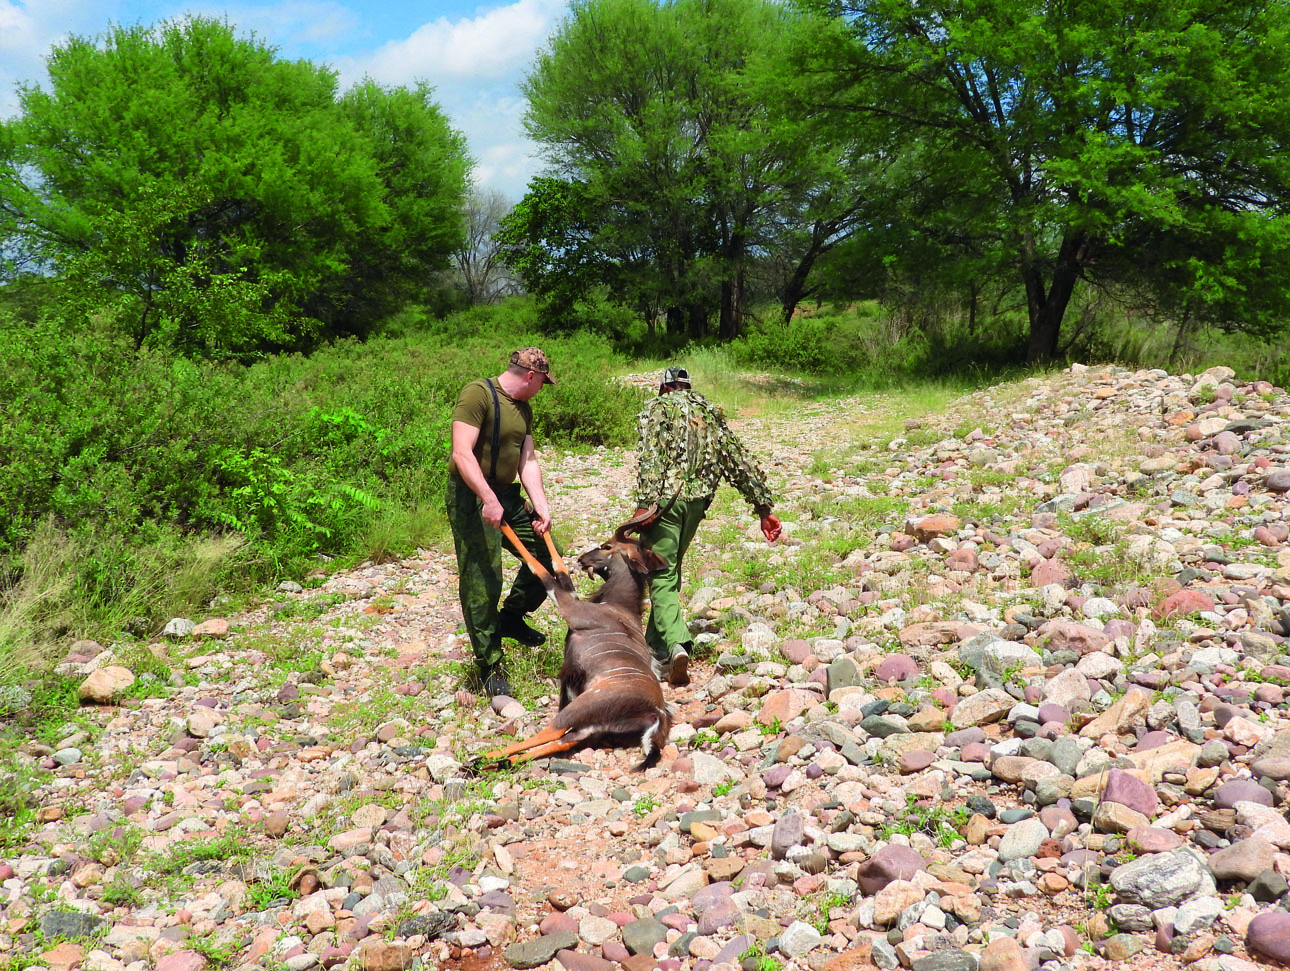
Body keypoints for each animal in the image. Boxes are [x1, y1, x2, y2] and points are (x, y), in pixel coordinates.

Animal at [485, 510, 675, 768]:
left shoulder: (569, 607)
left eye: (607, 546)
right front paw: (539, 522)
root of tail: (657, 713)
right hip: (593, 727)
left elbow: (543, 571)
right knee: (566, 740)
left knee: (554, 730)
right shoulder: (573, 597)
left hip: (582, 706)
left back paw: (483, 757)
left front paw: (501, 518)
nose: (584, 559)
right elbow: (561, 569)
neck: (617, 606)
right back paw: (495, 762)